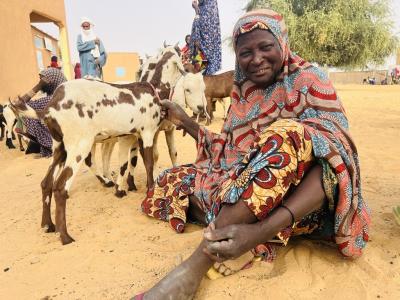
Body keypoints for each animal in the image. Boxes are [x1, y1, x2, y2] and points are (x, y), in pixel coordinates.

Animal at [11, 46, 185, 244]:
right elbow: (148, 164)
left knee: (46, 183)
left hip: (59, 148)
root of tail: (50, 108)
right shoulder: (147, 133)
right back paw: (65, 236)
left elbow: (129, 162)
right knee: (60, 188)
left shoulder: (132, 136)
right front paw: (148, 192)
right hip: (79, 146)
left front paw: (124, 189)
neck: (154, 88)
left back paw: (48, 225)